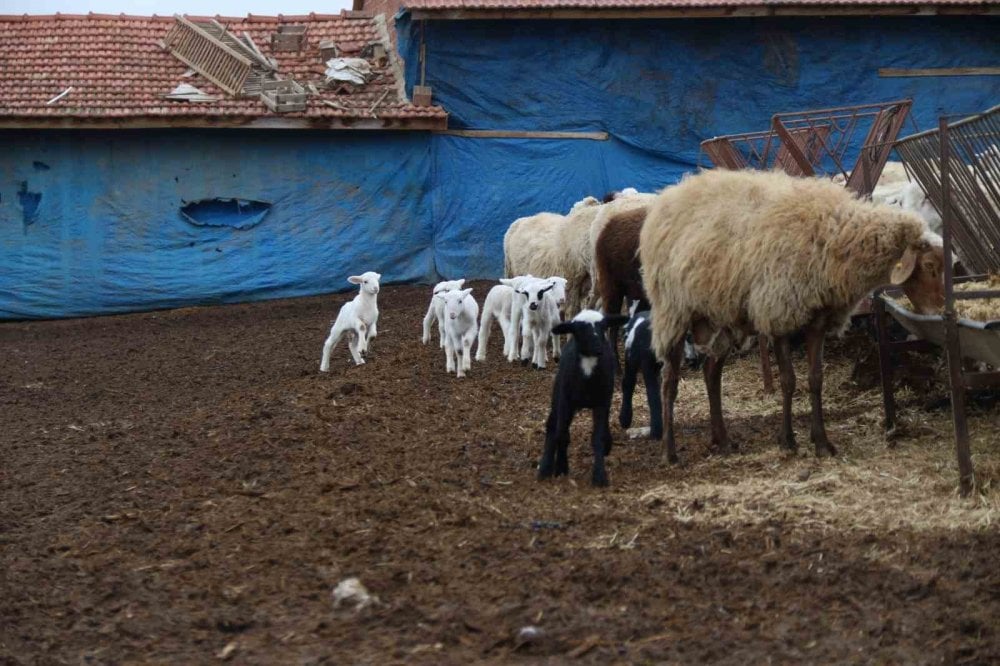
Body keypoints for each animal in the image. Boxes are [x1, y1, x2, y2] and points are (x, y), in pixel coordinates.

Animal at [640, 167, 944, 462]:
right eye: (929, 265)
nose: (939, 312)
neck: (835, 237)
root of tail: (670, 194)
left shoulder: (818, 322)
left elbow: (815, 380)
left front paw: (821, 442)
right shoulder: (779, 315)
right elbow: (788, 381)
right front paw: (788, 440)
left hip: (721, 317)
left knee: (711, 372)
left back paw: (722, 441)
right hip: (673, 311)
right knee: (669, 381)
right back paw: (669, 452)